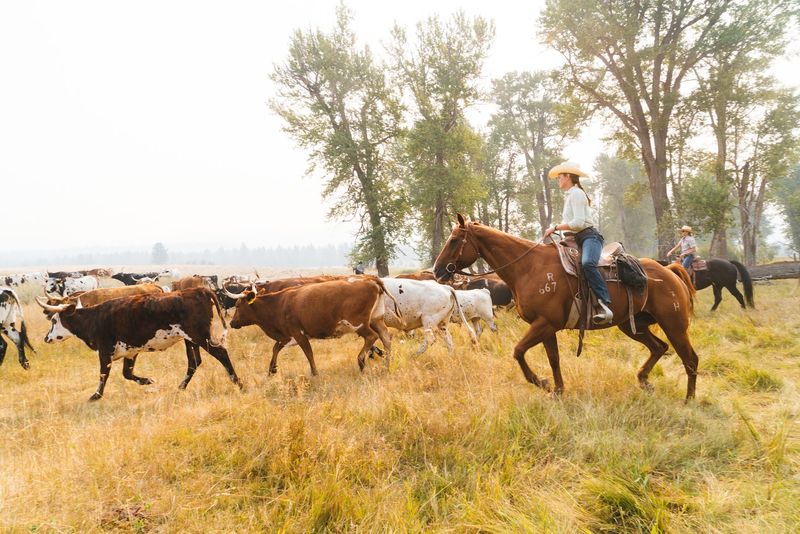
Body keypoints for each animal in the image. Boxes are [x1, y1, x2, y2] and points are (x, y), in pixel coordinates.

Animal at [35, 287, 241, 401]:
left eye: (54, 320)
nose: (46, 338)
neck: (95, 318)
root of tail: (200, 290)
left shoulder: (105, 351)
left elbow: (103, 374)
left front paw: (96, 396)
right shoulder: (130, 351)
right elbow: (127, 374)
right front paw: (148, 381)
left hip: (199, 336)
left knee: (221, 353)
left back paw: (238, 383)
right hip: (190, 340)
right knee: (194, 362)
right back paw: (181, 387)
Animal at [224, 277, 393, 376]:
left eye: (238, 305)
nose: (232, 323)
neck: (279, 304)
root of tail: (371, 281)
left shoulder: (298, 334)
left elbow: (308, 353)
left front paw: (314, 373)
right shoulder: (287, 335)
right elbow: (275, 347)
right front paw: (272, 369)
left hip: (359, 325)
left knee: (372, 336)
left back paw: (361, 361)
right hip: (376, 320)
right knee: (386, 337)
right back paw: (386, 365)